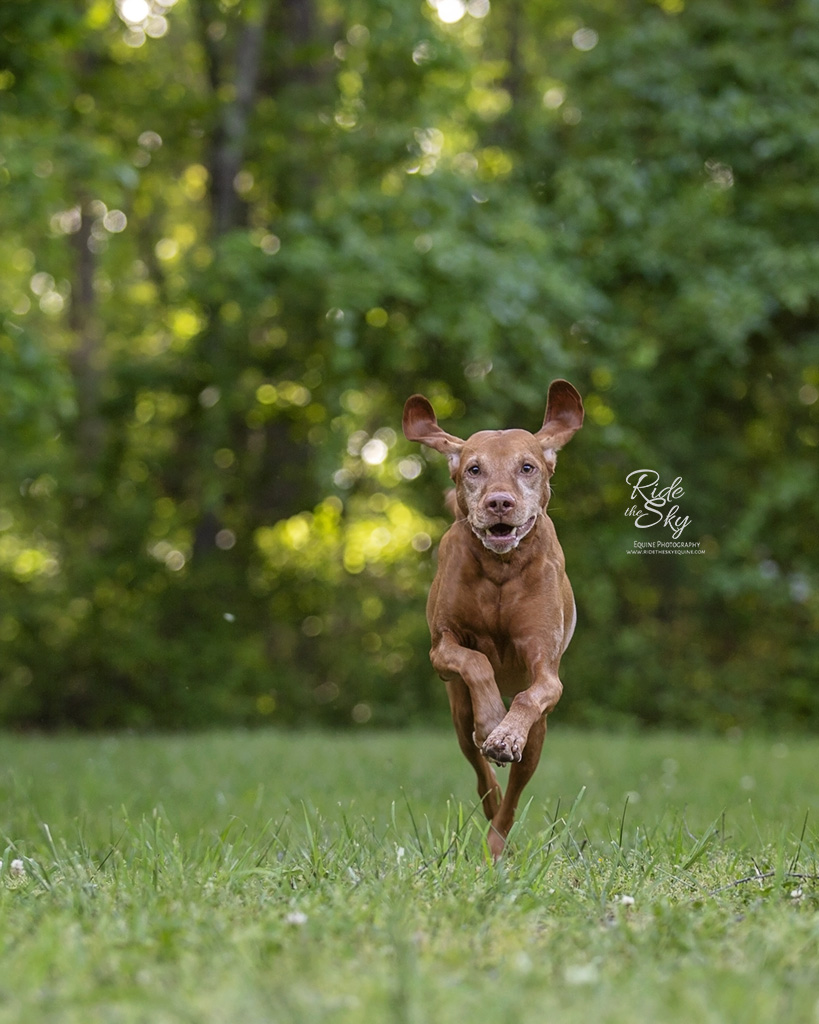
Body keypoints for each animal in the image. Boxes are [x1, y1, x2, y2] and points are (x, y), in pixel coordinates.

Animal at [401, 380, 581, 860]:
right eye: (474, 469)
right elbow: (475, 661)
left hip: (539, 736)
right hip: (456, 712)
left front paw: (504, 734)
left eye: (527, 467)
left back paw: (498, 841)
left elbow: (530, 696)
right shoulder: (441, 649)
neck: (501, 569)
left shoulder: (546, 671)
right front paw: (491, 721)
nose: (499, 503)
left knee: (514, 796)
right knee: (482, 775)